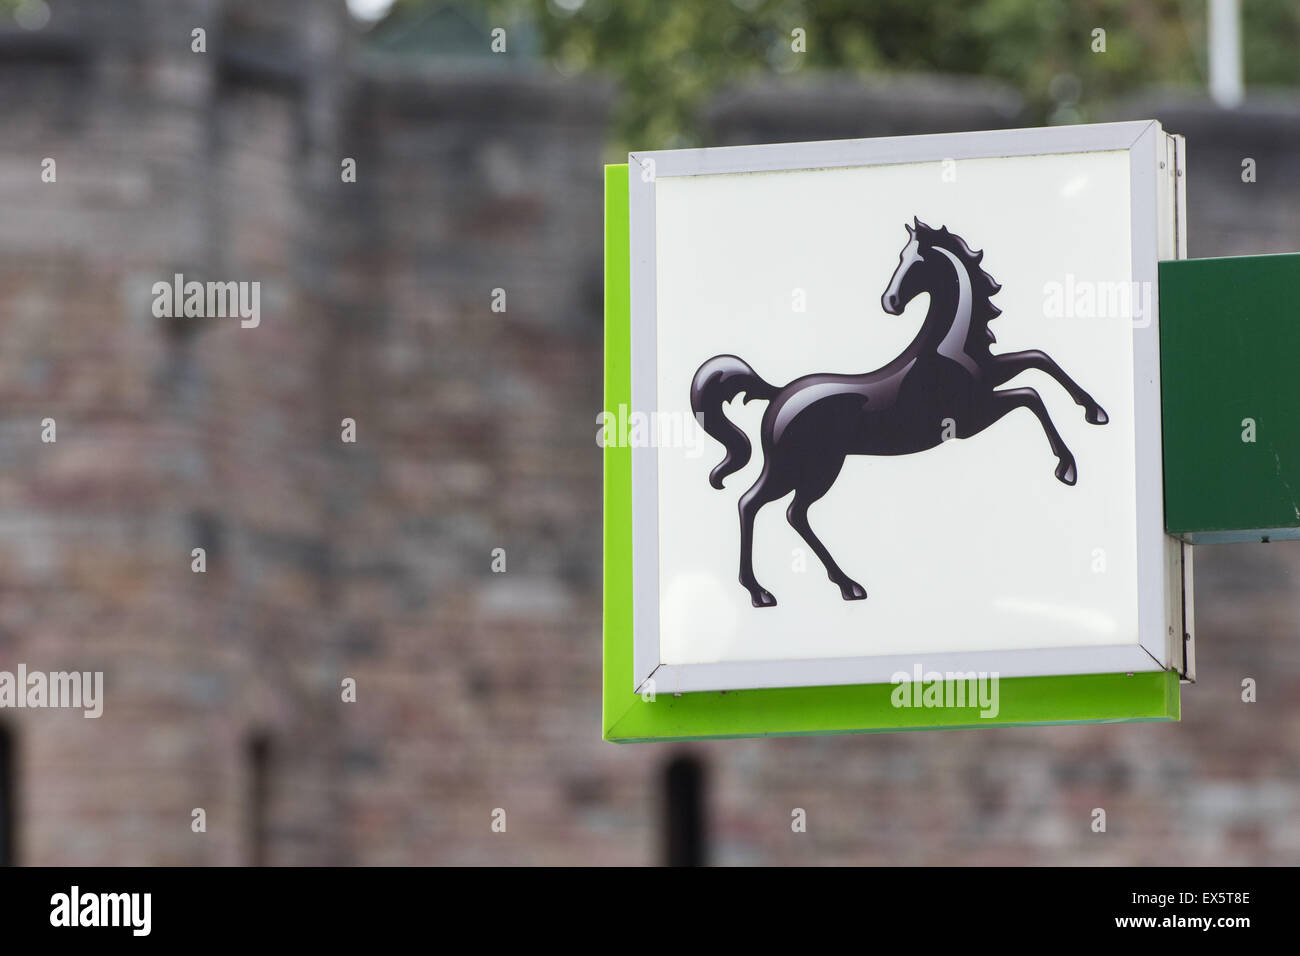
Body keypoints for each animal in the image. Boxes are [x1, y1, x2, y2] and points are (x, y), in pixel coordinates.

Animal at [691, 218, 1107, 606]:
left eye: (915, 261)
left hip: (811, 469)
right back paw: (766, 592)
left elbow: (1039, 359)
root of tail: (778, 396)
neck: (946, 347)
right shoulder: (972, 418)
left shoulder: (990, 378)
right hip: (800, 467)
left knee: (792, 513)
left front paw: (1096, 412)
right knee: (754, 504)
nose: (889, 301)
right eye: (902, 258)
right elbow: (1031, 395)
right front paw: (1067, 467)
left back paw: (842, 586)